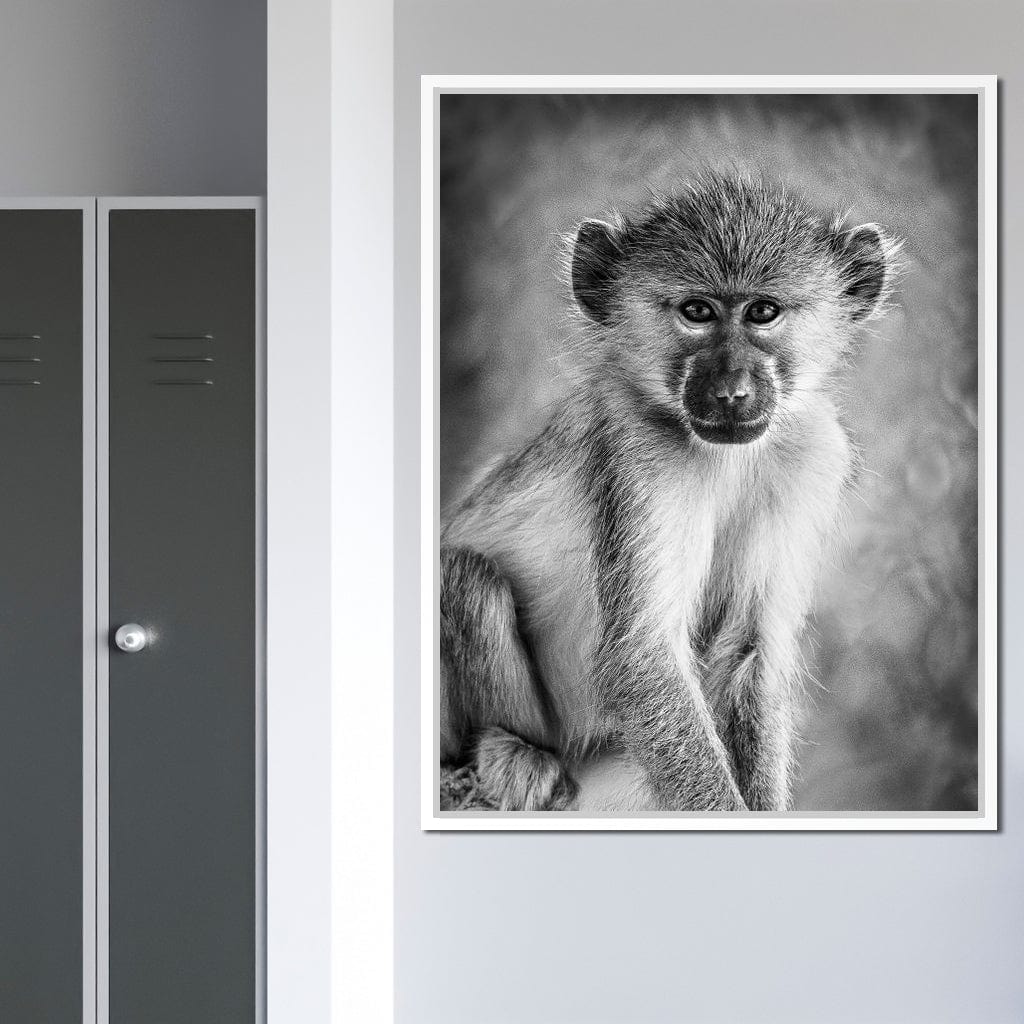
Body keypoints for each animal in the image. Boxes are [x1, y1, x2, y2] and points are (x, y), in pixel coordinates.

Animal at [439, 172, 900, 812]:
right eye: (696, 312)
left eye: (763, 311)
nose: (731, 391)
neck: (728, 457)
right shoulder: (642, 455)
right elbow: (643, 657)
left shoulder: (813, 453)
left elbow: (750, 650)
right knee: (465, 578)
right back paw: (511, 749)